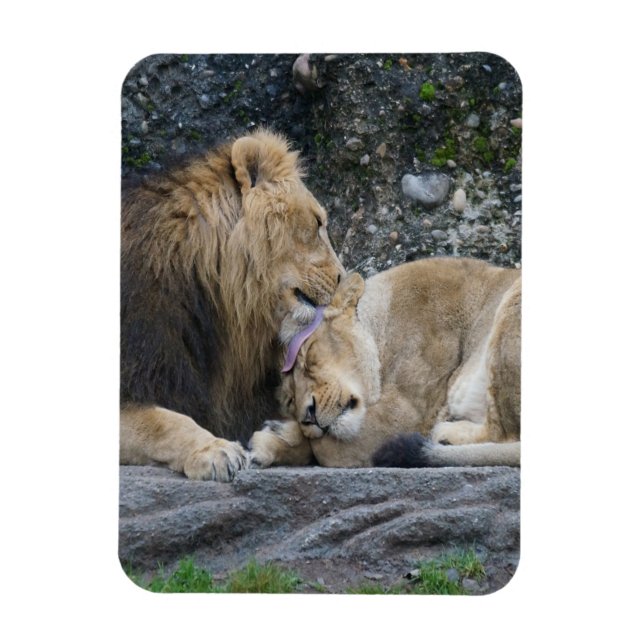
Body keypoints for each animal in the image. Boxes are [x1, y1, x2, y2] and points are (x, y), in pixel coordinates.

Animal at [249, 257, 520, 469]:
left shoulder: (407, 413)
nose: (309, 416)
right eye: (290, 400)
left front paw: (277, 435)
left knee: (504, 434)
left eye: (309, 358)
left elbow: (324, 448)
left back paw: (446, 434)